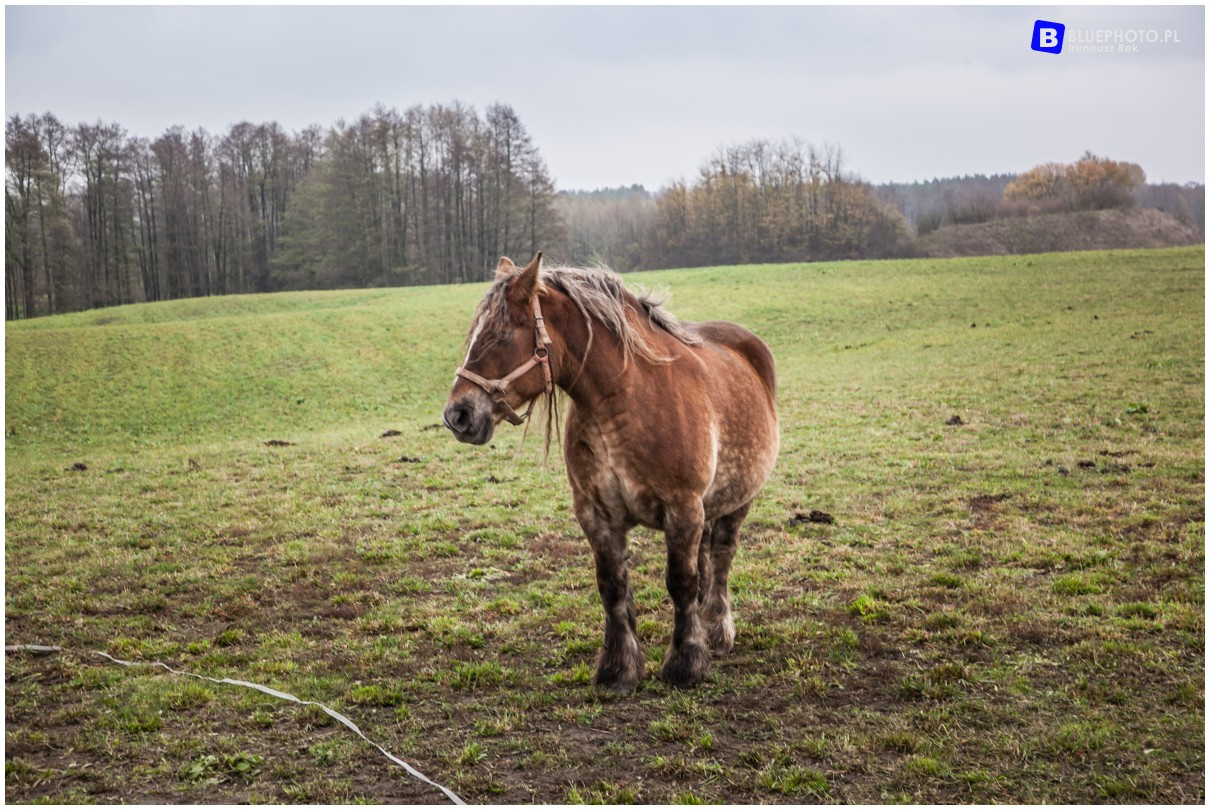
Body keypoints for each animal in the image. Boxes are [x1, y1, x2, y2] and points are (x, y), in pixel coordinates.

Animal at [440, 250, 779, 687]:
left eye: (499, 335)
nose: (457, 415)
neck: (625, 401)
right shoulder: (596, 515)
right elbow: (613, 587)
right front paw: (619, 668)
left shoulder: (683, 509)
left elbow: (681, 582)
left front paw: (686, 663)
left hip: (738, 501)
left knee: (720, 558)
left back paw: (718, 631)